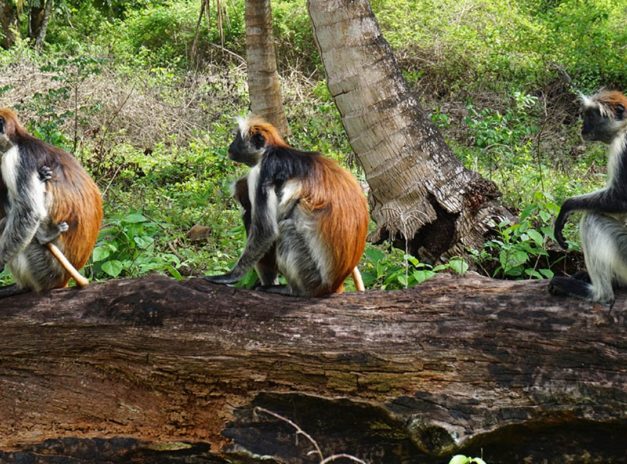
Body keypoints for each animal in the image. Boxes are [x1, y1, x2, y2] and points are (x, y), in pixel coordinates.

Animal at [206, 117, 370, 298]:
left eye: (237, 138)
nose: (230, 146)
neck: (274, 150)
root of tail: (335, 284)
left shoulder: (263, 170)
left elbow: (266, 231)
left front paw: (229, 276)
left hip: (311, 277)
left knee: (282, 229)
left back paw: (289, 289)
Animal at [548, 90, 627, 308]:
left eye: (591, 116)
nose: (582, 127)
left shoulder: (624, 146)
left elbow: (620, 198)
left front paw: (567, 207)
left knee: (591, 218)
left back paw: (599, 294)